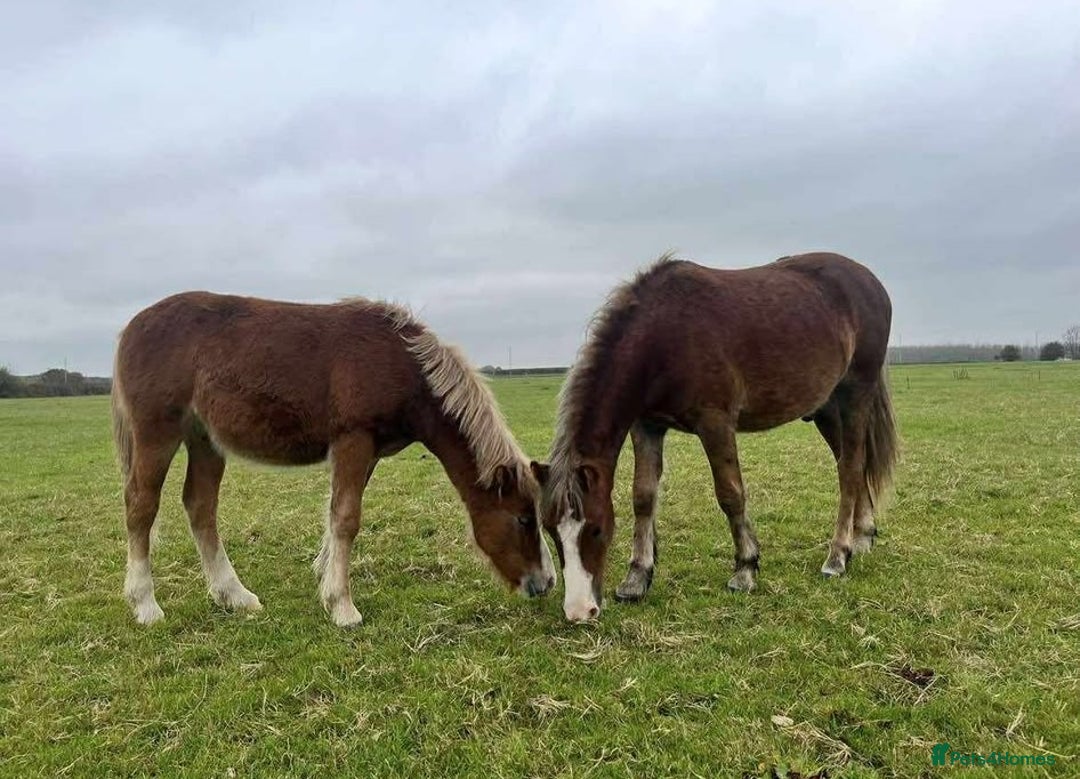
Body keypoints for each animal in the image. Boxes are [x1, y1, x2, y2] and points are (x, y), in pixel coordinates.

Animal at [112, 292, 556, 626]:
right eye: (523, 519)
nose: (546, 582)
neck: (401, 363)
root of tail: (131, 327)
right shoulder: (353, 440)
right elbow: (346, 519)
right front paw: (343, 606)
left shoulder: (368, 451)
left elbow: (336, 515)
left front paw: (326, 582)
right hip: (157, 433)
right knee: (141, 506)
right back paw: (146, 605)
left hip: (205, 440)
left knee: (200, 506)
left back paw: (234, 595)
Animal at [534, 252, 897, 622]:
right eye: (549, 530)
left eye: (595, 528)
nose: (579, 610)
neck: (662, 336)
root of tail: (870, 282)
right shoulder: (646, 426)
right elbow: (643, 496)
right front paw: (637, 577)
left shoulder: (715, 423)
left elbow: (730, 494)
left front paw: (745, 568)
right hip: (826, 408)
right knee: (853, 464)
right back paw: (862, 535)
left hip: (855, 395)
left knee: (849, 469)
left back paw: (838, 555)